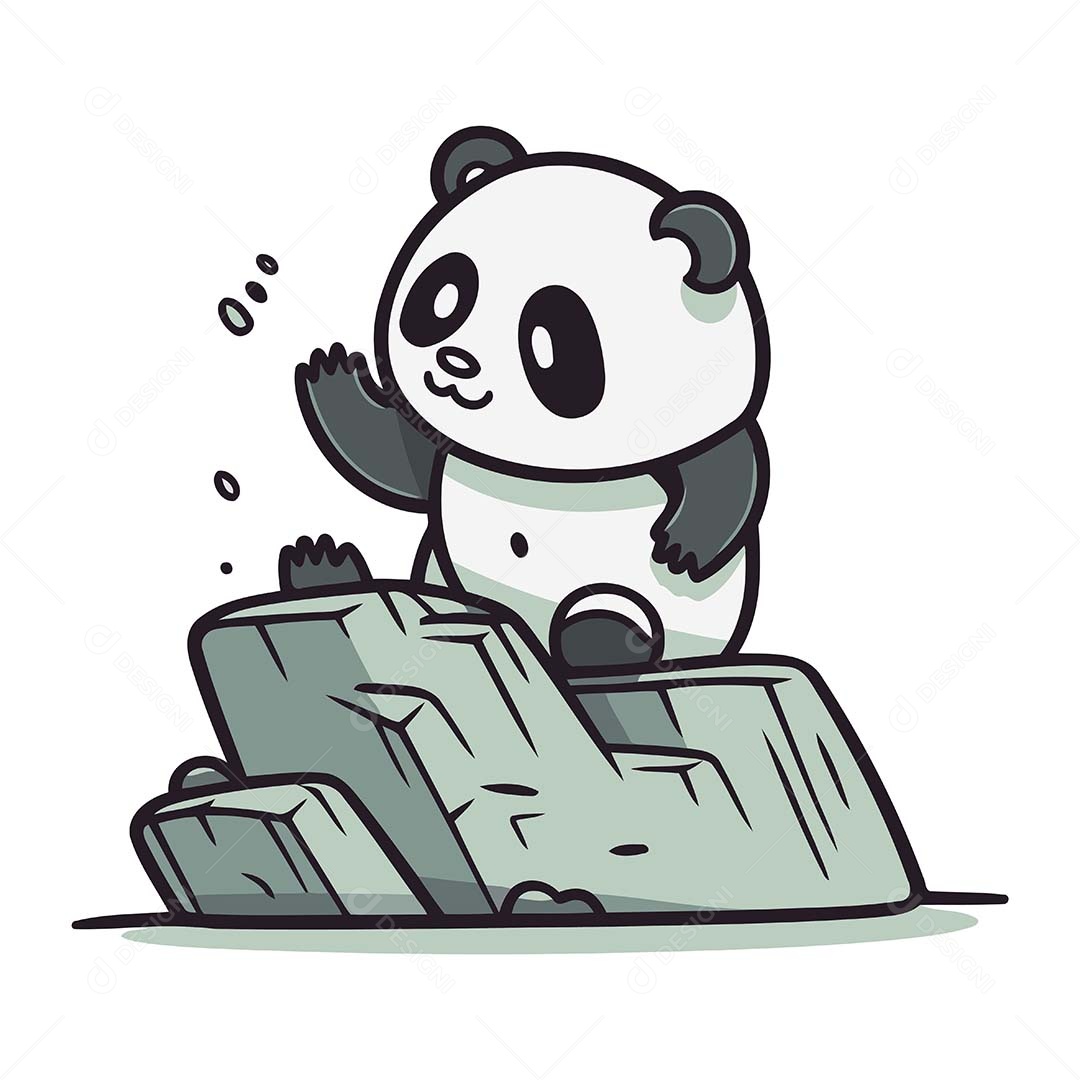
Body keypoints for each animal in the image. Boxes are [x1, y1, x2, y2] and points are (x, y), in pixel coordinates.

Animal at [294, 126, 770, 669]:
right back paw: (323, 567)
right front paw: (334, 373)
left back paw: (598, 641)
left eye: (554, 338)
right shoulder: (457, 453)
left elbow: (728, 471)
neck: (547, 468)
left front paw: (682, 546)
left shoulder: (691, 430)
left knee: (610, 621)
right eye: (444, 295)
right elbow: (402, 466)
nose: (456, 363)